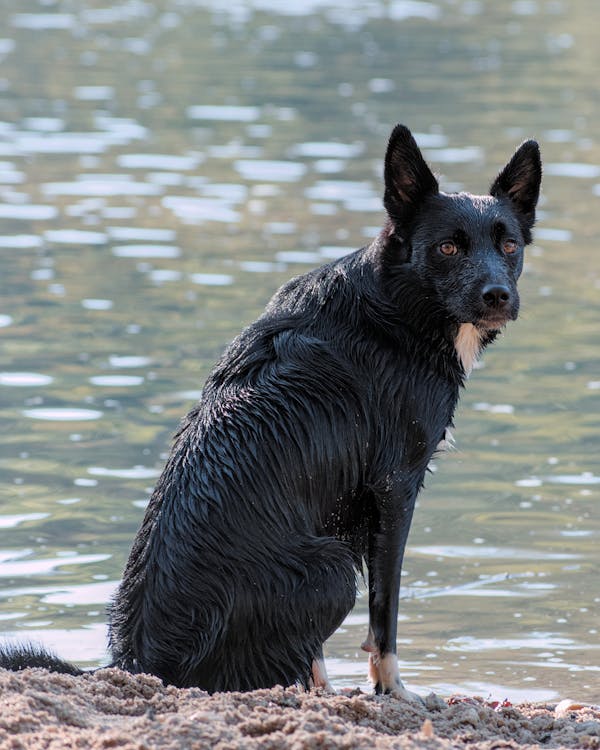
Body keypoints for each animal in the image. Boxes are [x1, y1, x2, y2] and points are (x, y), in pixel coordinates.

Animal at [0, 126, 540, 704]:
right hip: (333, 569)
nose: (498, 296)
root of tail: (137, 661)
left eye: (509, 245)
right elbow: (384, 615)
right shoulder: (395, 488)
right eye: (447, 247)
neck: (398, 303)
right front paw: (393, 690)